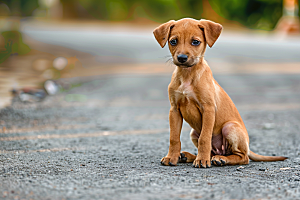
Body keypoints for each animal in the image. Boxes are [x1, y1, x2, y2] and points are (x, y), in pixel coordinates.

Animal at [154, 18, 288, 169]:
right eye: (173, 41)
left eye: (195, 42)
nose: (182, 58)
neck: (188, 75)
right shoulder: (174, 110)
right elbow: (174, 138)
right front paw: (171, 157)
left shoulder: (208, 109)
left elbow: (205, 138)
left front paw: (202, 160)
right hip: (194, 133)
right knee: (213, 152)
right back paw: (188, 156)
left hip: (229, 128)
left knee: (243, 157)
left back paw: (220, 159)